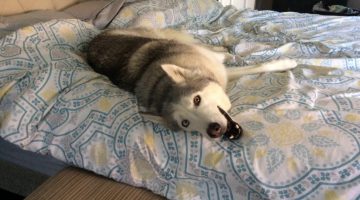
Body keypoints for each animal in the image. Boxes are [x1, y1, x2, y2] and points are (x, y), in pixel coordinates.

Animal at [86, 27, 296, 138]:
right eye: (185, 123)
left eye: (197, 99)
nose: (213, 130)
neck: (162, 87)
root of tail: (92, 42)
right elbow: (254, 67)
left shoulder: (219, 70)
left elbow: (260, 65)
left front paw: (287, 62)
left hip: (166, 37)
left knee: (201, 43)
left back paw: (224, 49)